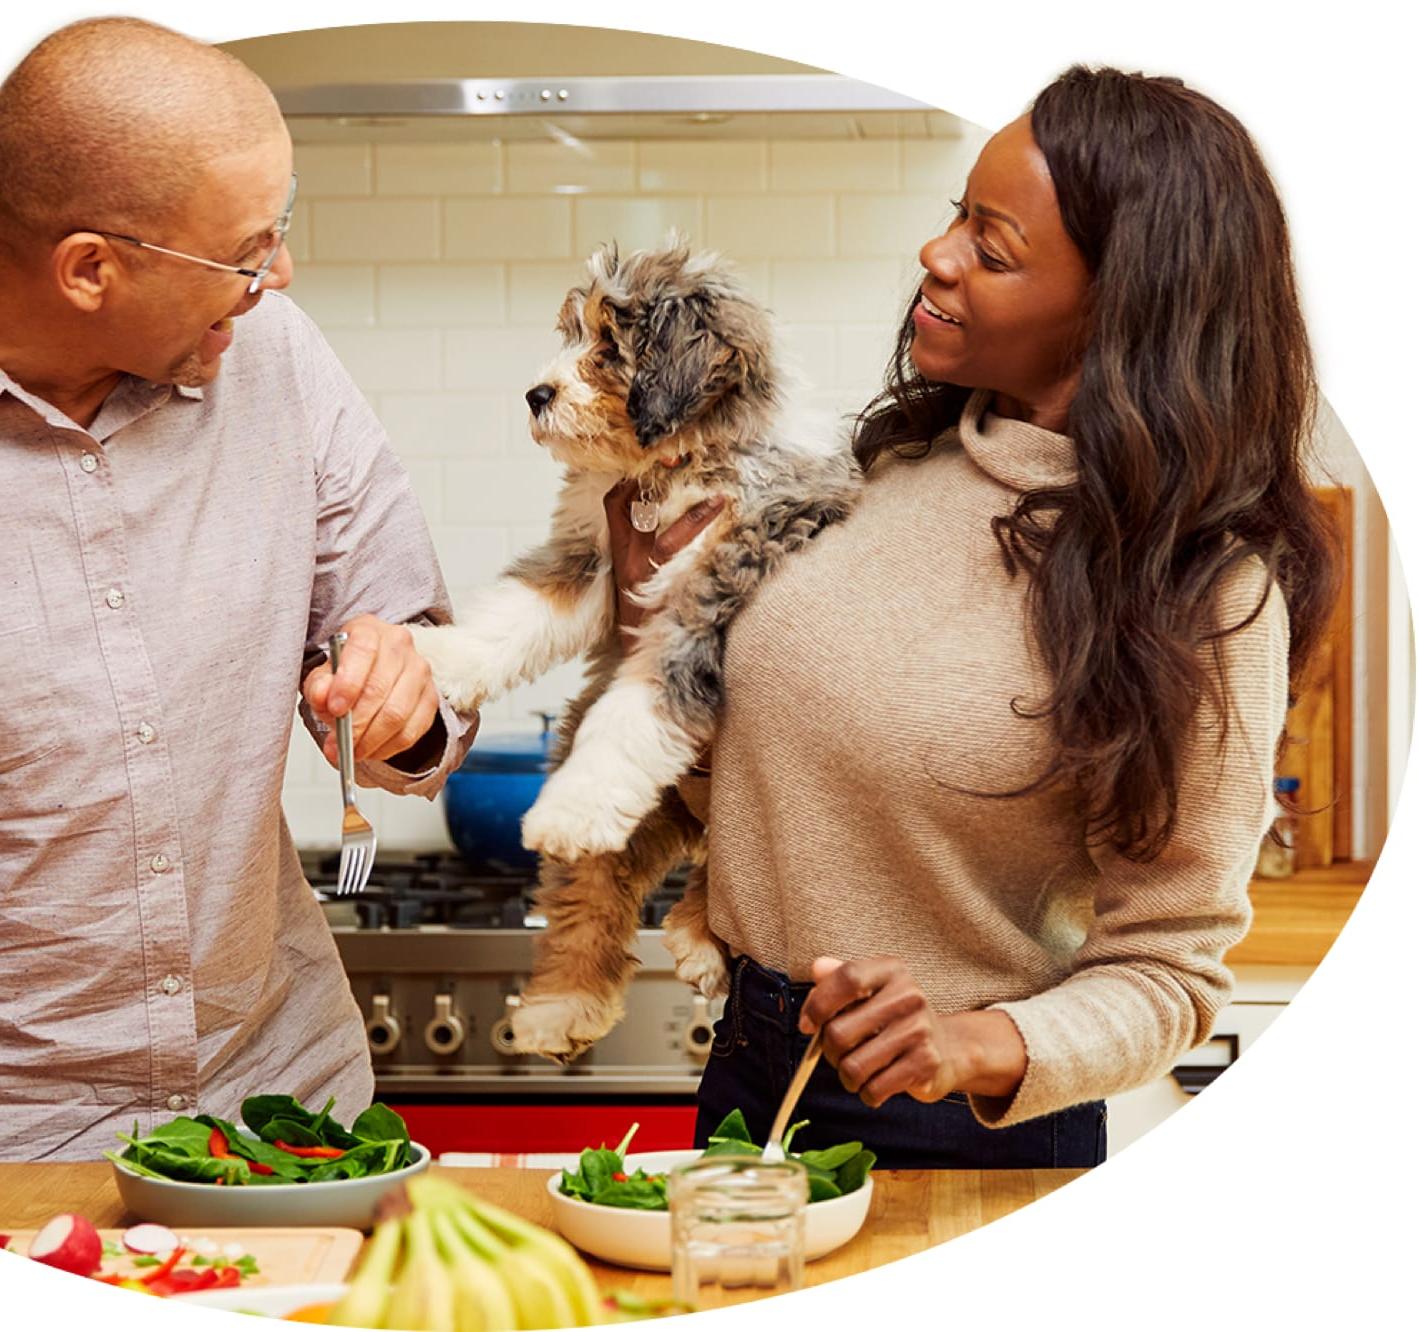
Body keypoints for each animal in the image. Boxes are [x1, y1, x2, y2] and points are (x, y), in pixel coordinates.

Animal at [405, 234, 857, 1055]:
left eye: (609, 346)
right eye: (571, 333)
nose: (535, 394)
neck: (669, 467)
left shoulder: (707, 597)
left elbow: (636, 710)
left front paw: (574, 805)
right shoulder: (590, 556)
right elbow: (516, 613)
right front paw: (441, 657)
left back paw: (688, 927)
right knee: (589, 894)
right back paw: (563, 1005)